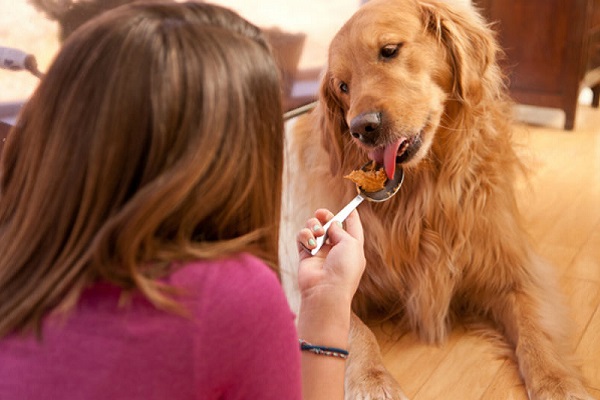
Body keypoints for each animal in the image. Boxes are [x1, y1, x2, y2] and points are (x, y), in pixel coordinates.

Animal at [278, 0, 592, 396]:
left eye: (389, 50)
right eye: (343, 87)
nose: (362, 128)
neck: (424, 191)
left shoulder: (513, 270)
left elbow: (536, 329)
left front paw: (558, 383)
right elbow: (355, 330)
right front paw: (372, 382)